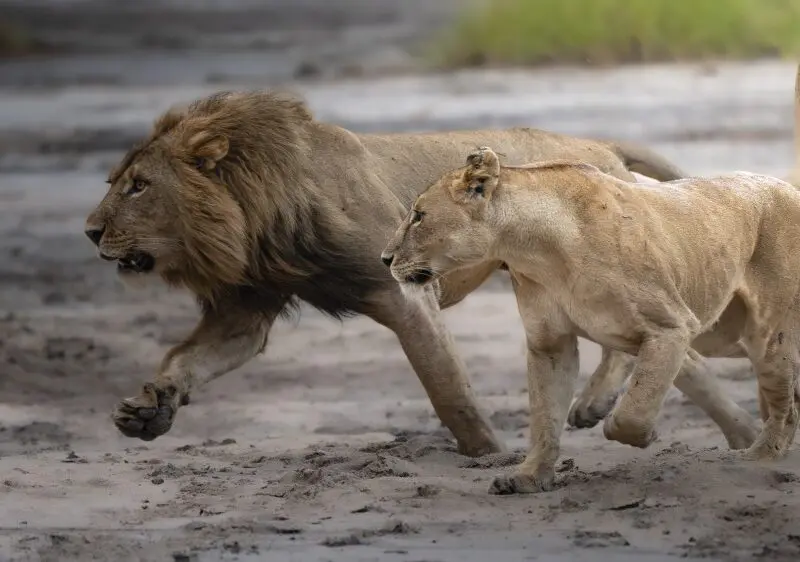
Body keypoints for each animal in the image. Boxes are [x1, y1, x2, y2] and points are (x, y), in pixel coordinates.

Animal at [85, 88, 737, 458]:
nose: (90, 231)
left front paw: (489, 453)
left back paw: (594, 404)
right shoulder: (246, 307)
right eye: (117, 181)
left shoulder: (402, 289)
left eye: (139, 186)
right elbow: (185, 360)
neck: (259, 217)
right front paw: (147, 410)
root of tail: (598, 146)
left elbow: (448, 387)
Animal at [381, 145, 800, 493]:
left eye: (418, 217)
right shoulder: (550, 344)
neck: (534, 251)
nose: (384, 258)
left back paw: (758, 457)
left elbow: (635, 406)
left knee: (786, 408)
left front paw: (635, 434)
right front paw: (530, 477)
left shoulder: (672, 326)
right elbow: (545, 414)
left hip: (766, 334)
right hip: (727, 336)